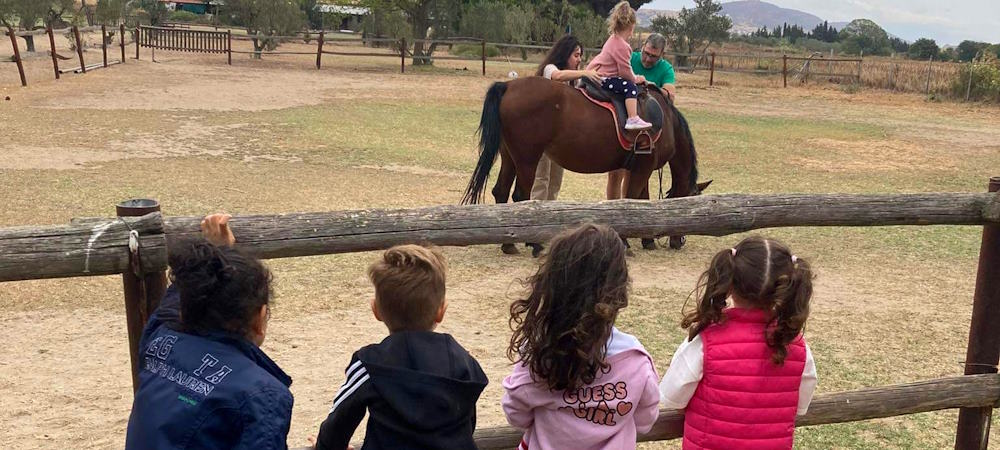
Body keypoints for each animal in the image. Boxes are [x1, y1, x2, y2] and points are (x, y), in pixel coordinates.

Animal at [460, 77, 712, 253]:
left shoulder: (641, 167)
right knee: (521, 197)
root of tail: (509, 85)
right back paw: (533, 244)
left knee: (501, 192)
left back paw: (508, 243)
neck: (667, 120)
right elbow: (631, 200)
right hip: (527, 159)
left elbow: (642, 201)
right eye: (693, 197)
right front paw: (626, 241)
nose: (679, 241)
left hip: (510, 157)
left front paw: (647, 239)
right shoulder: (644, 168)